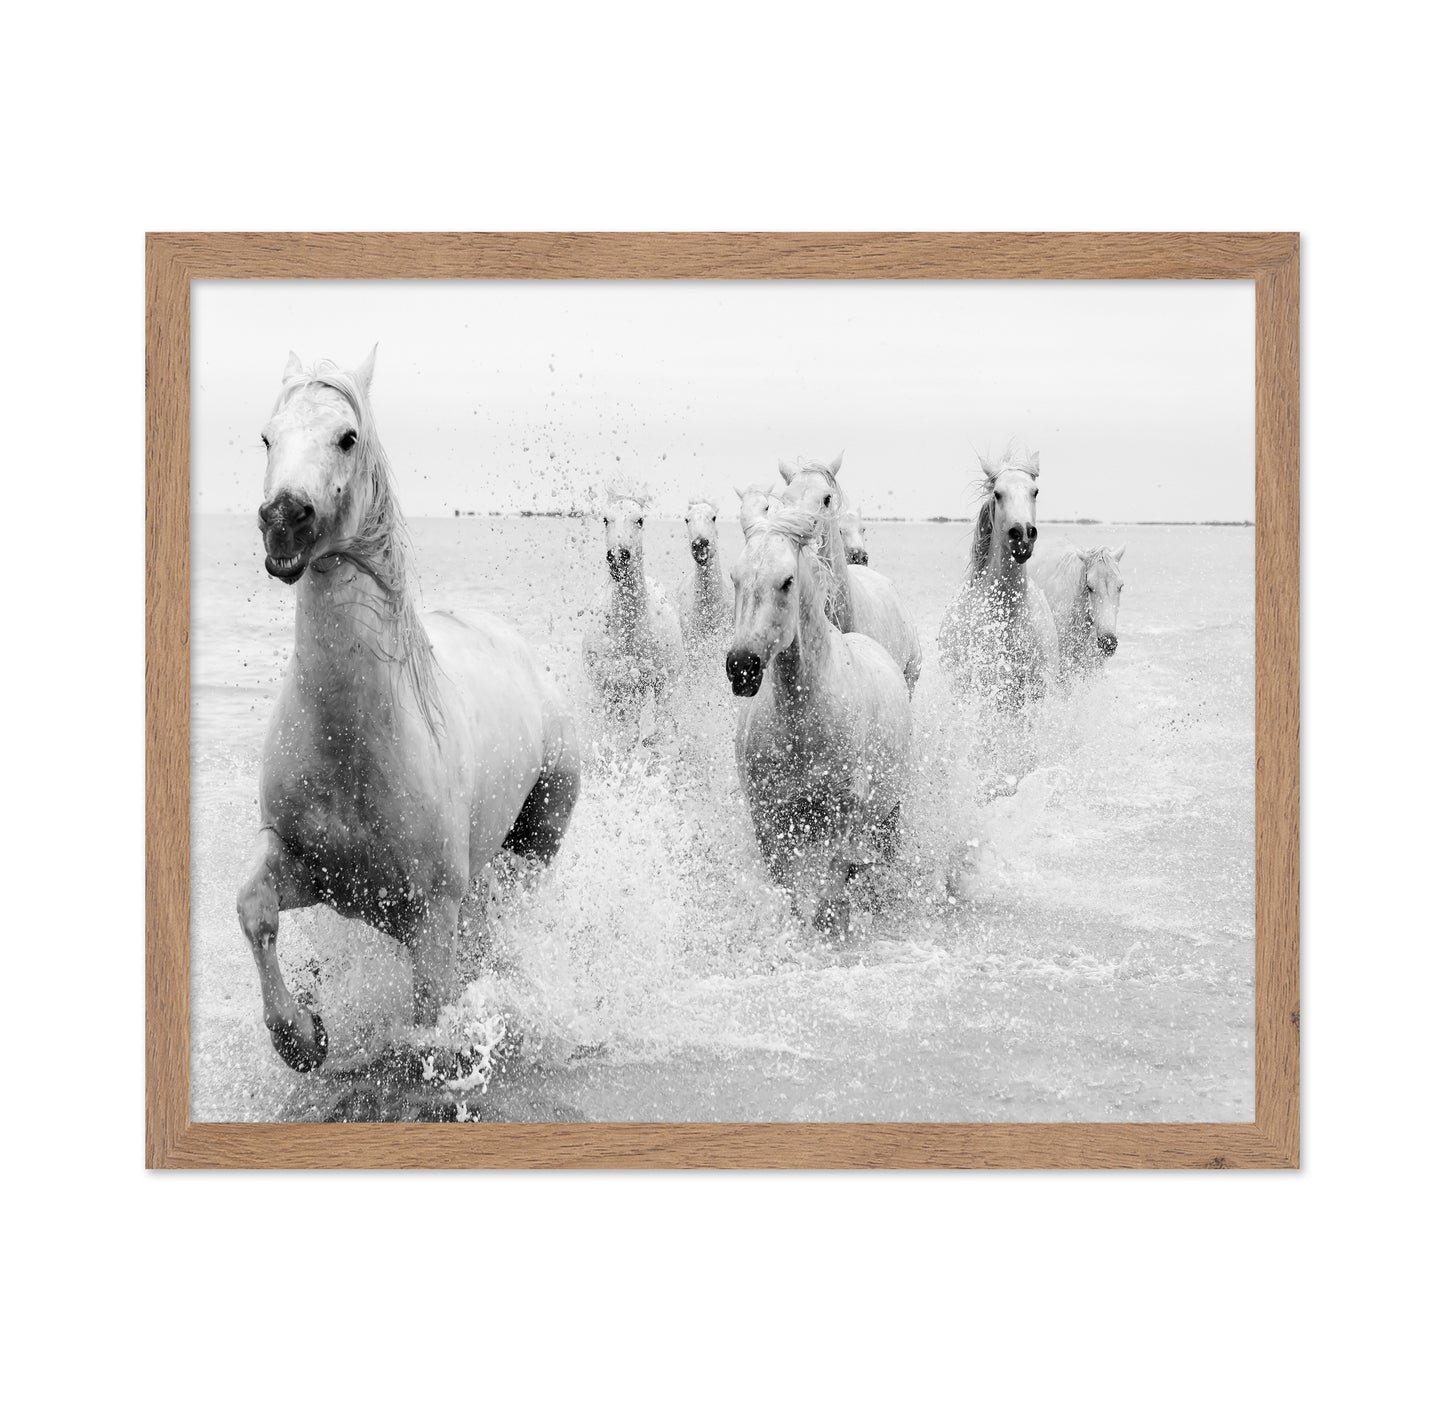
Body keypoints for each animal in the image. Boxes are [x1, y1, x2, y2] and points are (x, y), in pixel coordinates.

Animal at [236, 348, 581, 1073]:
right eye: (267, 437)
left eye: (347, 436)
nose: (283, 518)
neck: (354, 739)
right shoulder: (305, 864)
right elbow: (254, 908)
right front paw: (302, 1034)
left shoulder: (430, 918)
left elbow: (430, 1020)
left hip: (534, 846)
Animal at [726, 505, 912, 936]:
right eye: (735, 577)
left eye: (787, 580)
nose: (741, 667)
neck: (802, 727)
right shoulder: (769, 819)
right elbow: (791, 894)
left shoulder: (844, 812)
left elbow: (832, 885)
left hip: (890, 812)